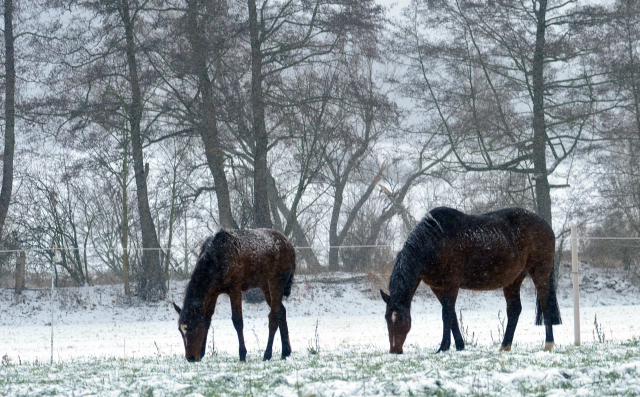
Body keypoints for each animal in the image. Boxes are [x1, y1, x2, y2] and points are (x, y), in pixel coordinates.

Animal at [174, 227, 296, 360]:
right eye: (180, 330)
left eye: (193, 326)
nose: (190, 357)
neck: (217, 261)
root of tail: (290, 246)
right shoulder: (213, 292)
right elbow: (207, 320)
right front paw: (202, 352)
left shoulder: (235, 289)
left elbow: (238, 321)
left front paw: (242, 354)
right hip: (264, 284)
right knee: (281, 311)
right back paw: (286, 351)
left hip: (277, 281)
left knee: (273, 316)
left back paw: (267, 354)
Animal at [380, 207, 560, 352]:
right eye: (387, 318)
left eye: (402, 318)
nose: (395, 350)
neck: (436, 240)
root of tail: (546, 226)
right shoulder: (437, 287)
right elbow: (452, 314)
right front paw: (460, 346)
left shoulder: (451, 284)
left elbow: (446, 314)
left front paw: (443, 347)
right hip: (513, 280)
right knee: (514, 310)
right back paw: (505, 346)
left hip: (540, 273)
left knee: (545, 304)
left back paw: (548, 344)